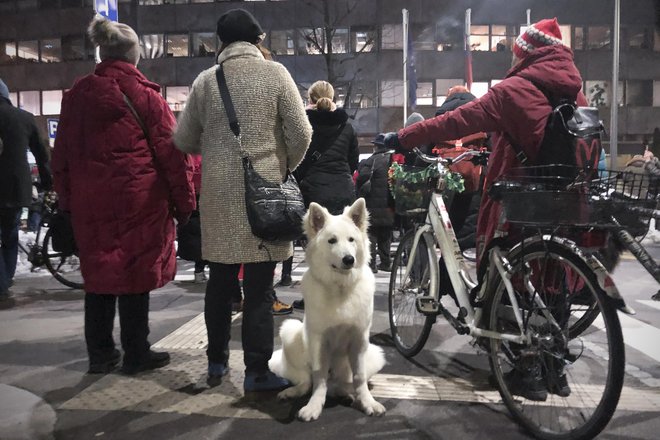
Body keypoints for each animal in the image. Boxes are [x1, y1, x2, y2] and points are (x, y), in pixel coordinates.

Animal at [268, 198, 386, 422]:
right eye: (332, 241)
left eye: (351, 240)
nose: (349, 260)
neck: (340, 287)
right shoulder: (319, 340)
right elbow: (318, 376)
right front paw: (314, 406)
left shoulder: (359, 339)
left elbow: (359, 377)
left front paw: (368, 402)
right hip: (290, 330)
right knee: (306, 381)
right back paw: (293, 392)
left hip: (374, 354)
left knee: (344, 384)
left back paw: (347, 394)